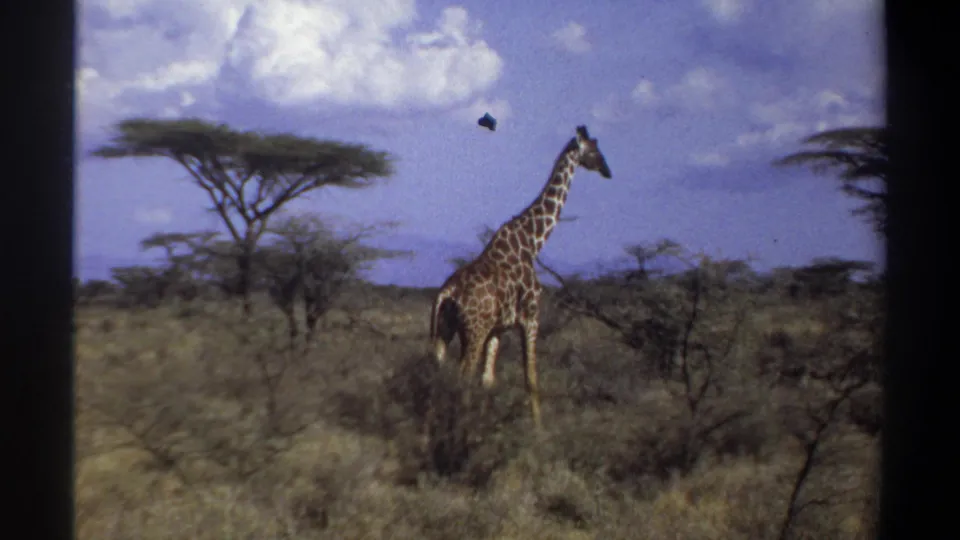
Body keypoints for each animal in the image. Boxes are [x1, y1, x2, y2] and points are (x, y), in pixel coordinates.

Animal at [428, 125, 612, 429]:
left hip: (446, 329)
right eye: (595, 150)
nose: (607, 170)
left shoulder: (498, 329)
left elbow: (488, 380)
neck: (532, 242)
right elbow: (531, 380)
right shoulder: (531, 317)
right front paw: (539, 432)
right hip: (473, 330)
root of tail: (447, 293)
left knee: (439, 372)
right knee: (462, 375)